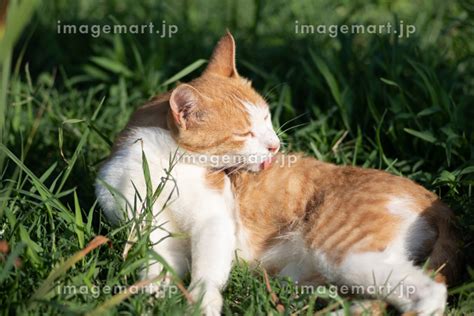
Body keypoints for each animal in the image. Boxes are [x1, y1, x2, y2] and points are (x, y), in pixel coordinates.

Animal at [96, 31, 282, 314]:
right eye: (243, 134)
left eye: (265, 118)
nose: (275, 145)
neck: (165, 163)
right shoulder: (146, 221)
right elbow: (155, 262)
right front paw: (151, 296)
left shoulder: (214, 220)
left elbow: (209, 265)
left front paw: (204, 300)